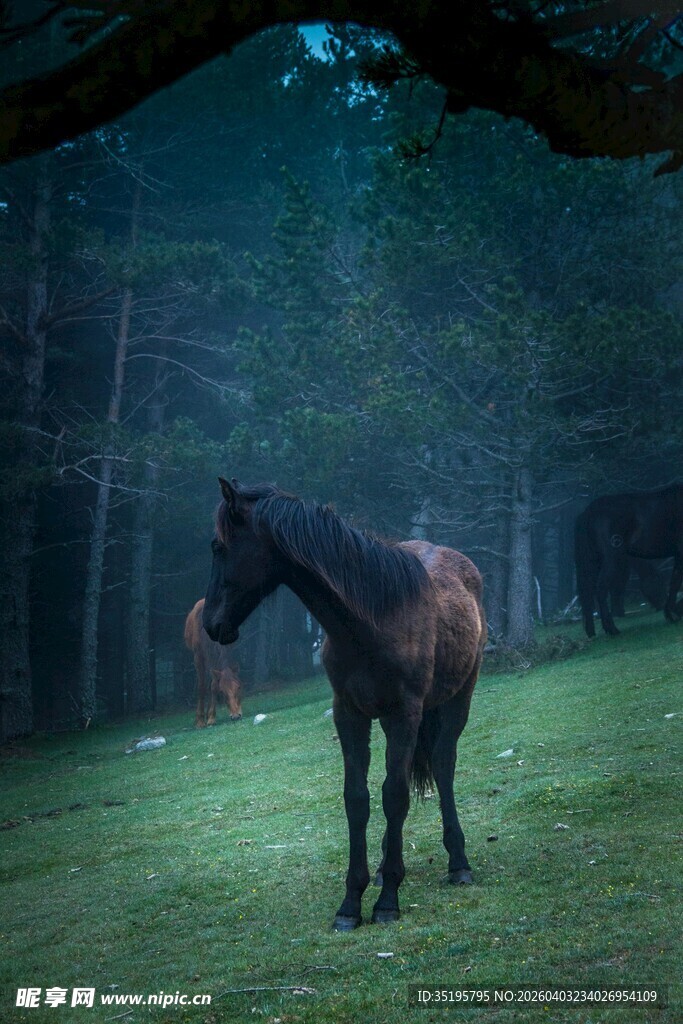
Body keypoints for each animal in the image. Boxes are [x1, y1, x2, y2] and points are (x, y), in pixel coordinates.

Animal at [184, 599, 243, 727]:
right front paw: (200, 720)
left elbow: (214, 684)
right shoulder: (198, 655)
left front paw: (211, 717)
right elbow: (202, 686)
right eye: (223, 692)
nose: (236, 715)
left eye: (239, 687)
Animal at [203, 478, 486, 930]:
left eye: (218, 546)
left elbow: (394, 796)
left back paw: (458, 863)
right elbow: (358, 799)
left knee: (443, 765)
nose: (212, 624)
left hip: (459, 698)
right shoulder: (349, 714)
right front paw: (352, 902)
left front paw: (387, 902)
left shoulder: (404, 713)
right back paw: (390, 861)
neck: (369, 619)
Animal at [574, 484, 683, 637]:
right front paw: (674, 612)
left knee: (587, 592)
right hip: (611, 559)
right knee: (600, 589)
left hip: (593, 562)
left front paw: (671, 613)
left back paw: (591, 632)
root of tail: (588, 512)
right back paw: (611, 629)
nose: (661, 603)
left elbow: (674, 582)